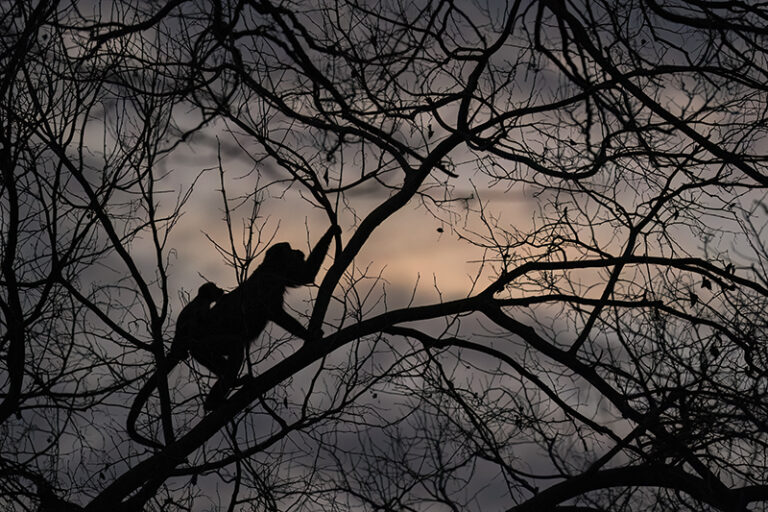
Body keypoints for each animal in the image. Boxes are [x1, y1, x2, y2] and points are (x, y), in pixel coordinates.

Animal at [127, 281, 224, 448]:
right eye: (215, 288)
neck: (202, 300)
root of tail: (175, 349)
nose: (221, 290)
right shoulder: (201, 307)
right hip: (183, 338)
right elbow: (197, 319)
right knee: (191, 325)